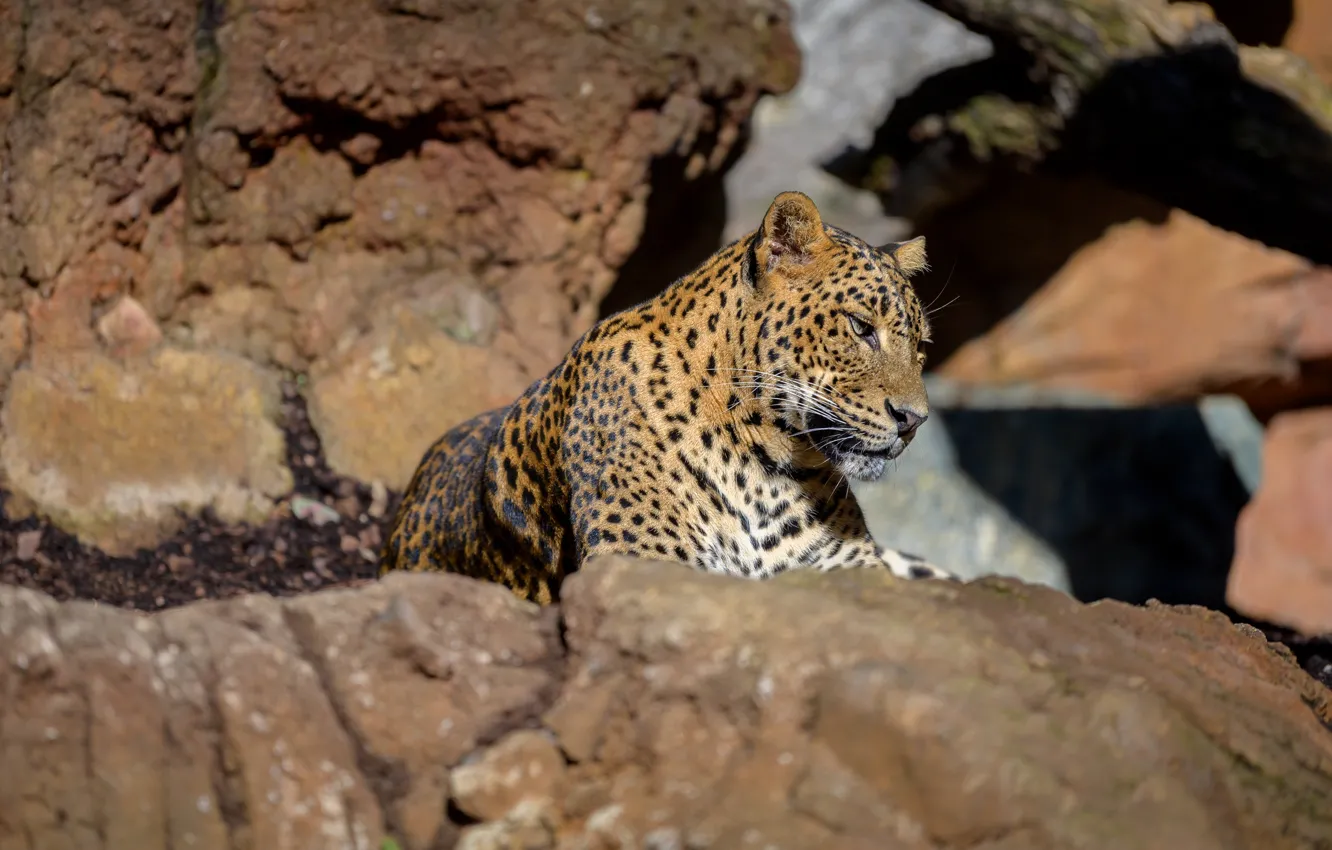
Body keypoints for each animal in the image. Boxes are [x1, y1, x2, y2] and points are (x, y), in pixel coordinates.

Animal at [379, 190, 956, 604]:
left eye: (922, 347)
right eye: (860, 327)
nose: (913, 421)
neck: (766, 467)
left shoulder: (850, 569)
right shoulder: (639, 563)